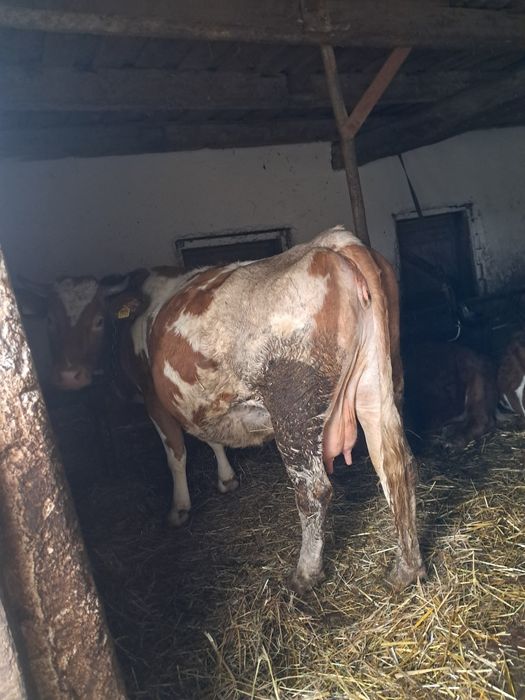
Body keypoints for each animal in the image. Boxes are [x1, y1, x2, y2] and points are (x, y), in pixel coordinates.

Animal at [20, 226, 425, 593]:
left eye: (99, 319)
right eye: (50, 321)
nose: (68, 377)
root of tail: (332, 242)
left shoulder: (155, 399)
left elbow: (176, 454)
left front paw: (179, 509)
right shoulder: (200, 401)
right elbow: (210, 437)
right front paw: (227, 478)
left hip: (293, 407)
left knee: (313, 490)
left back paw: (305, 574)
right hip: (377, 386)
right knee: (395, 465)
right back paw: (406, 569)